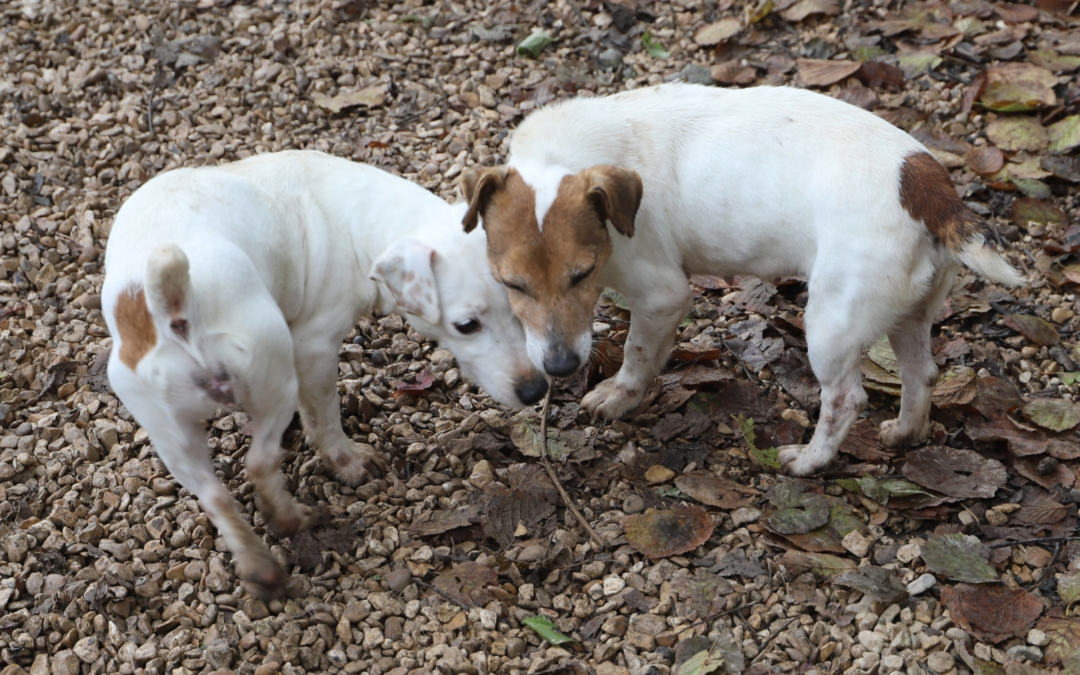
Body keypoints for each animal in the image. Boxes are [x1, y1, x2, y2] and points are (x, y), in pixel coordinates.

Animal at [102, 149, 544, 596]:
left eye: (517, 307)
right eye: (466, 325)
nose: (536, 390)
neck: (362, 220)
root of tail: (174, 307)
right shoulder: (312, 349)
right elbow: (325, 419)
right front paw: (348, 463)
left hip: (170, 433)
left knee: (216, 497)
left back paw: (260, 565)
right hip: (274, 371)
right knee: (260, 461)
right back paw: (289, 519)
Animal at [462, 84, 1019, 479]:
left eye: (582, 273)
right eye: (511, 284)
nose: (559, 368)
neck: (563, 158)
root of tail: (929, 189)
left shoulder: (663, 293)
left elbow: (637, 355)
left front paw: (620, 397)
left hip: (831, 323)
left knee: (845, 400)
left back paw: (809, 461)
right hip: (909, 312)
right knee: (922, 375)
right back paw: (906, 433)